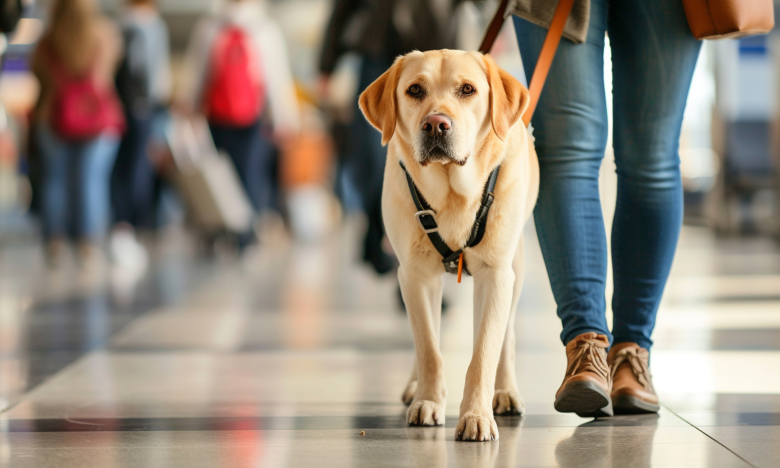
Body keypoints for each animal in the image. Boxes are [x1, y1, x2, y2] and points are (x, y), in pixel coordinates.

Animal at [358, 51, 536, 442]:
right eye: (414, 90)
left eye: (467, 89)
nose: (436, 124)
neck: (454, 194)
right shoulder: (414, 275)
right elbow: (428, 347)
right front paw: (428, 400)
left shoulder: (496, 274)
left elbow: (484, 352)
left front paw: (476, 415)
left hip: (515, 269)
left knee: (506, 337)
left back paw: (506, 391)